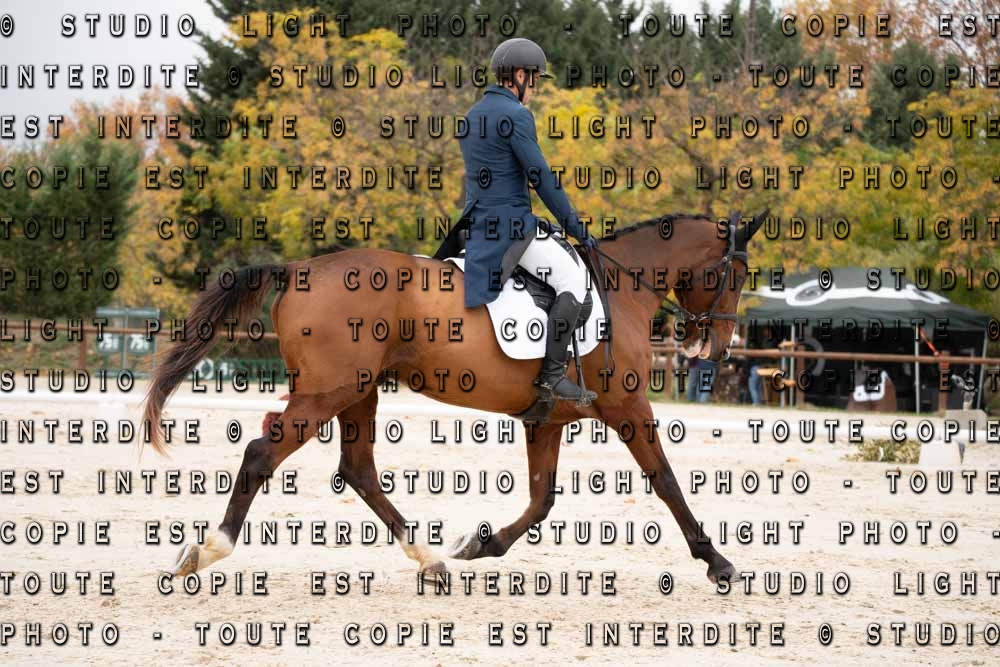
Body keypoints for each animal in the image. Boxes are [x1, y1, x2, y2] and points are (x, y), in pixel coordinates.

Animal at [142, 210, 767, 584]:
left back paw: (432, 559)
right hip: (328, 393)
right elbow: (666, 481)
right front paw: (718, 562)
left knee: (359, 468)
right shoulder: (628, 409)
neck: (621, 290)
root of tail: (300, 268)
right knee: (262, 454)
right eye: (735, 276)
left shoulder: (547, 419)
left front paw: (479, 547)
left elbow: (542, 500)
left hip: (358, 392)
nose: (716, 346)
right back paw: (206, 551)